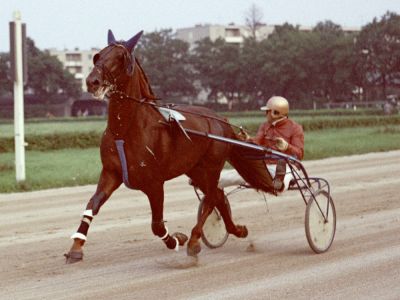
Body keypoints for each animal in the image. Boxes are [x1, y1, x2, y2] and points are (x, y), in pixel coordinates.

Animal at [65, 29, 276, 262]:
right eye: (98, 56)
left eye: (120, 58)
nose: (92, 81)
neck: (125, 130)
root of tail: (222, 120)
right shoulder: (111, 173)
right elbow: (91, 206)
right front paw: (76, 247)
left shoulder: (155, 183)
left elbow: (157, 225)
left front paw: (177, 240)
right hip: (195, 169)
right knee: (218, 196)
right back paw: (236, 230)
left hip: (211, 166)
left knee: (212, 197)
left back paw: (194, 240)